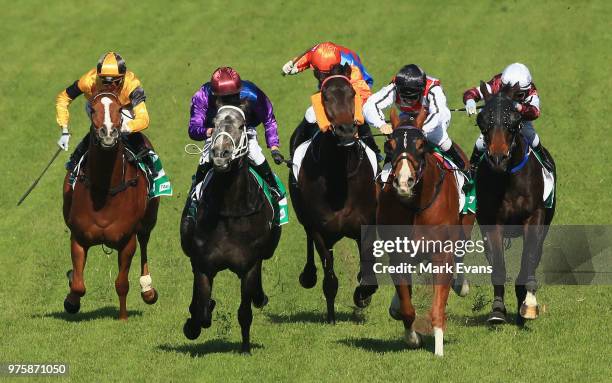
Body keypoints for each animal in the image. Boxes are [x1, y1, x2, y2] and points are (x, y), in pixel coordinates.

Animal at [60, 91, 158, 320]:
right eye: (93, 109)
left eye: (120, 109)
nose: (108, 134)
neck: (104, 194)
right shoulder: (78, 237)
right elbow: (78, 284)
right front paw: (71, 300)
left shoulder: (126, 241)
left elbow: (122, 283)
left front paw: (123, 318)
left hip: (149, 220)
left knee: (144, 242)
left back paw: (148, 289)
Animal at [179, 105, 280, 354]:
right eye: (214, 123)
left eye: (242, 125)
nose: (220, 154)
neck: (229, 211)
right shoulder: (203, 264)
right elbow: (201, 307)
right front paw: (194, 324)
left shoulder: (250, 265)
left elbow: (244, 311)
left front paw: (245, 348)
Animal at [290, 63, 380, 324]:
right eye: (325, 96)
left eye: (352, 94)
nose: (346, 130)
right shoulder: (319, 229)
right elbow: (329, 272)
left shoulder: (365, 224)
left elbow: (368, 269)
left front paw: (362, 295)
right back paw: (308, 275)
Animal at [376, 107, 476, 356]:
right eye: (389, 145)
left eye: (421, 144)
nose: (404, 182)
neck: (416, 206)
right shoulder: (398, 254)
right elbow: (407, 307)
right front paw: (412, 338)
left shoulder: (442, 254)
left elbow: (438, 306)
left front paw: (439, 350)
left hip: (466, 225)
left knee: (461, 252)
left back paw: (461, 284)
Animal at [474, 82, 556, 326]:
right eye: (482, 120)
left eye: (515, 119)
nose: (497, 158)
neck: (507, 178)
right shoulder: (492, 221)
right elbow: (498, 265)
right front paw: (498, 310)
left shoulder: (534, 217)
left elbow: (528, 259)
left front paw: (528, 305)